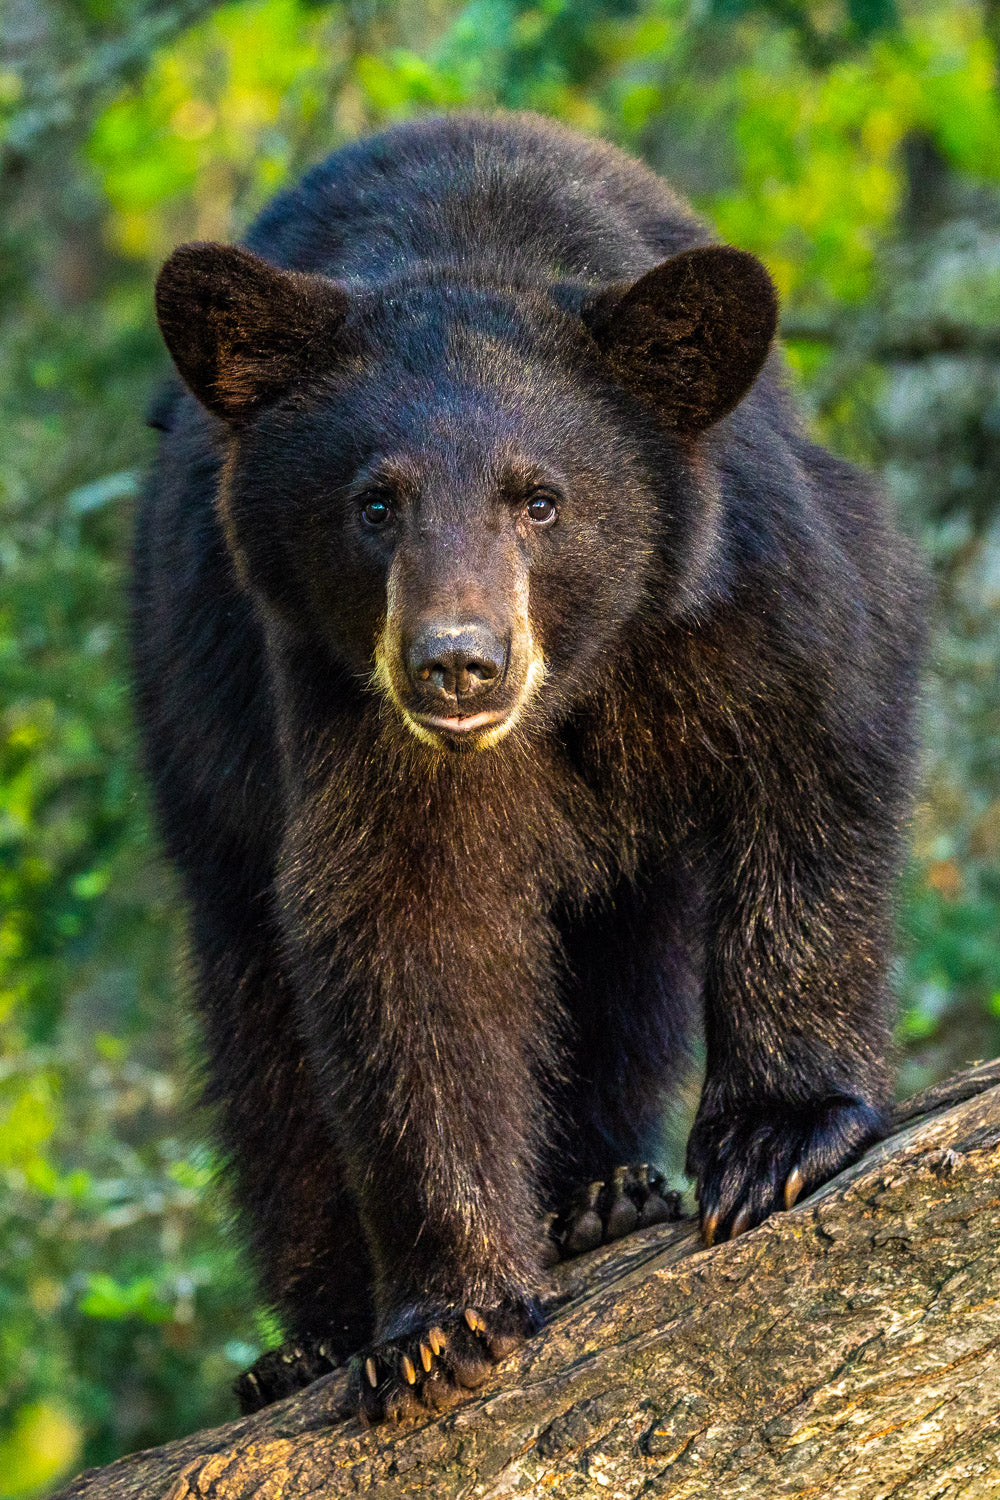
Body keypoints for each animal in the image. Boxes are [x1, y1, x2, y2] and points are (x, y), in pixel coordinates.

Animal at [133, 110, 927, 1424]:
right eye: (374, 503)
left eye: (540, 500)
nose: (457, 665)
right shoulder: (338, 712)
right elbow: (403, 931)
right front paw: (440, 1320)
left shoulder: (743, 586)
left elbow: (812, 756)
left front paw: (773, 1138)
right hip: (196, 742)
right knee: (259, 1033)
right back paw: (307, 1338)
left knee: (624, 972)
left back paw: (601, 1194)